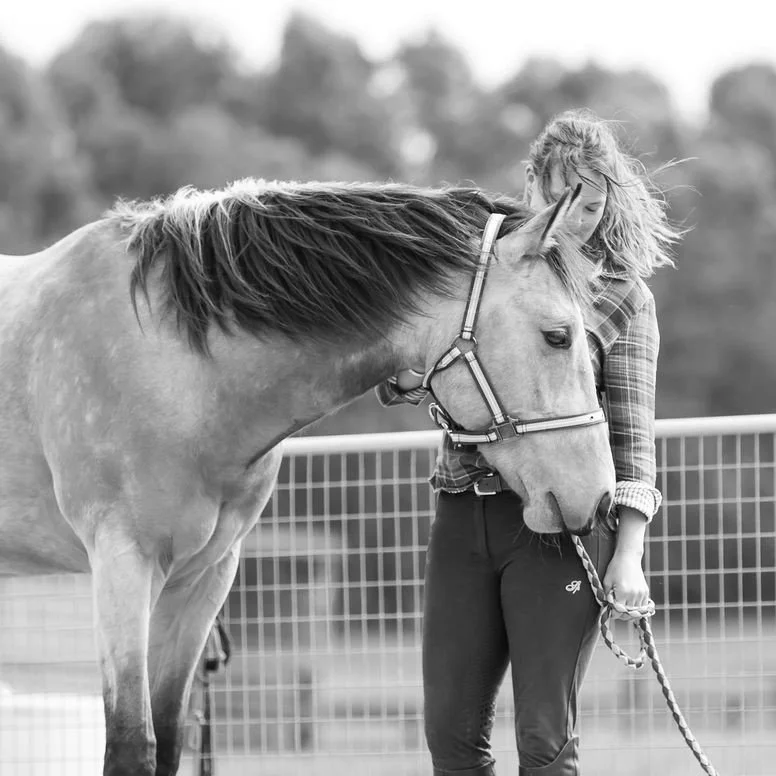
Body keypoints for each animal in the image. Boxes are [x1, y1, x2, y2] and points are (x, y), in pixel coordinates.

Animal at [0, 178, 615, 775]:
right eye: (558, 336)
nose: (601, 498)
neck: (171, 359)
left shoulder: (202, 579)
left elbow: (170, 742)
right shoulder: (123, 563)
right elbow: (131, 746)